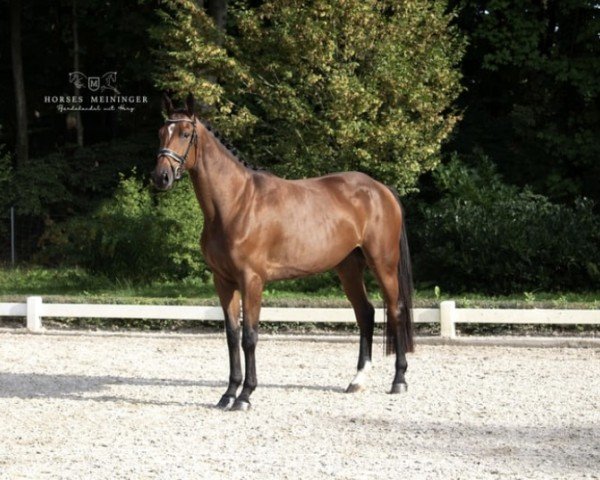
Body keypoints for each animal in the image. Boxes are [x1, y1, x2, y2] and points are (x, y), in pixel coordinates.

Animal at [151, 94, 412, 412]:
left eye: (186, 133)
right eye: (161, 133)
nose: (160, 177)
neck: (236, 203)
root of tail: (381, 189)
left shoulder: (252, 281)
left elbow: (249, 337)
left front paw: (245, 395)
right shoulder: (223, 281)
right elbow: (231, 336)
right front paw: (228, 394)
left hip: (383, 264)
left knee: (396, 310)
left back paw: (399, 380)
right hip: (349, 268)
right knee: (366, 313)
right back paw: (357, 380)